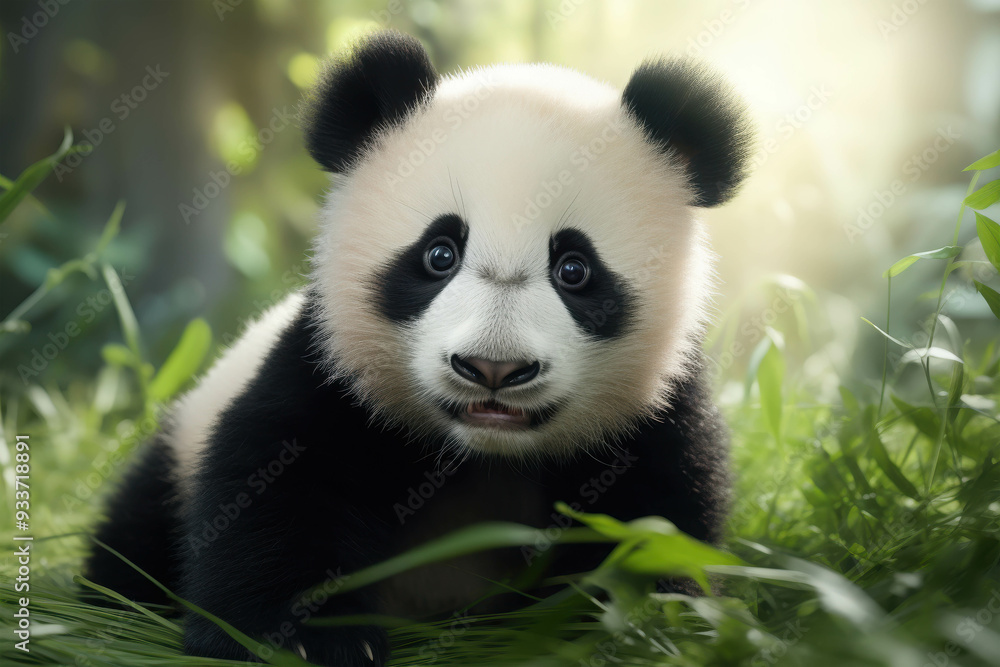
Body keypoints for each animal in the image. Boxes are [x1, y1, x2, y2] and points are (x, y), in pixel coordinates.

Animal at [85, 30, 752, 666]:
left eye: (574, 269)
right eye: (439, 254)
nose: (492, 368)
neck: (483, 454)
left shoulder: (654, 414)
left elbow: (653, 523)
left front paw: (619, 629)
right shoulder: (331, 371)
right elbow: (277, 486)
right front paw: (307, 639)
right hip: (177, 448)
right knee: (136, 533)